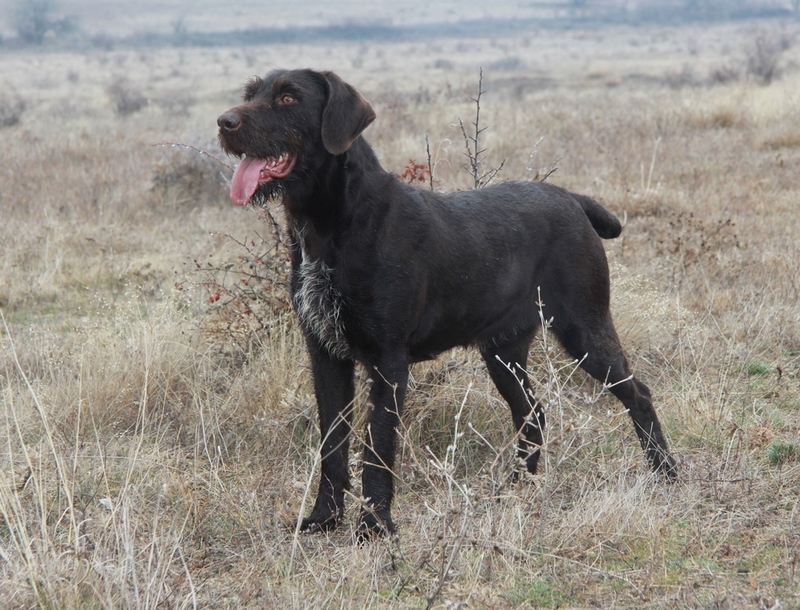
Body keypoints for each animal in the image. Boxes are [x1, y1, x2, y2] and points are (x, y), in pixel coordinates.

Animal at [217, 70, 676, 536]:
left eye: (288, 98)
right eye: (251, 94)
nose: (225, 122)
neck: (335, 222)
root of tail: (572, 199)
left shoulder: (388, 361)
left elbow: (377, 447)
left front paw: (373, 526)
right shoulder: (326, 355)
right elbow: (332, 443)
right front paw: (324, 517)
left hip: (585, 330)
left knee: (637, 393)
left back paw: (665, 472)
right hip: (503, 353)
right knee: (532, 413)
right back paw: (515, 489)